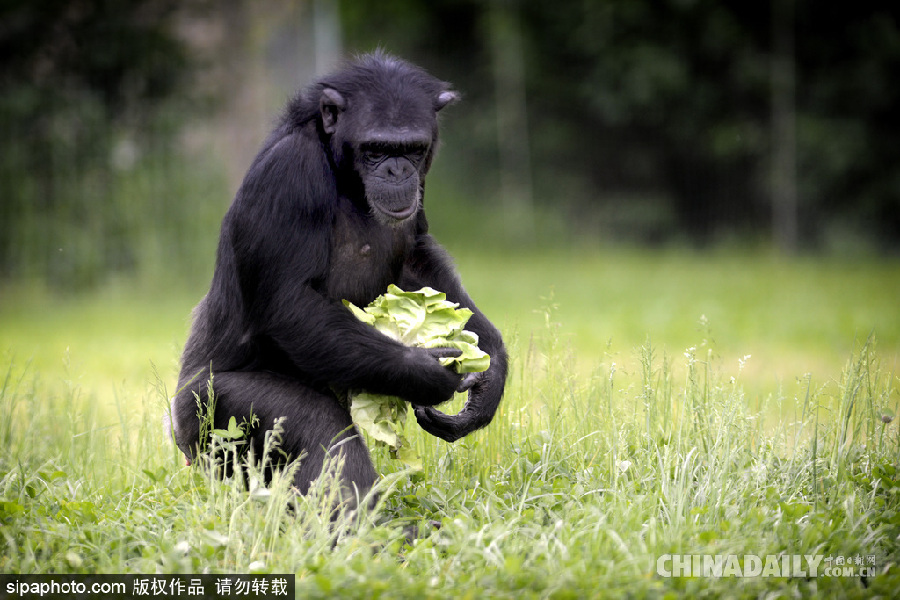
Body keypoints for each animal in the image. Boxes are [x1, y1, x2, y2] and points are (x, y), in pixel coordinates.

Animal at [169, 52, 506, 502]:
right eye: (376, 149)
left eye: (413, 149)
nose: (398, 171)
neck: (341, 171)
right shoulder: (289, 172)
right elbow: (291, 301)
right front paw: (424, 371)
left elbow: (416, 261)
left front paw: (491, 374)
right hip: (208, 415)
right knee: (320, 433)